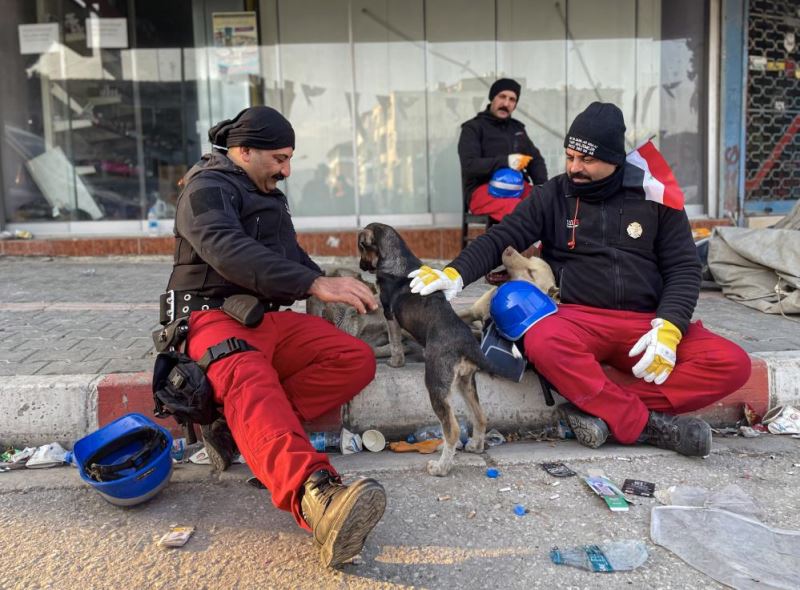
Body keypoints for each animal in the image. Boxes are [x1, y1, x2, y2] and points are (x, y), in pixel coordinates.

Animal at [356, 224, 494, 478]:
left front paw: (395, 362)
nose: (361, 266)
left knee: (452, 430)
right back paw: (476, 447)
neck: (399, 259)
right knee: (480, 415)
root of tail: (466, 343)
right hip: (465, 381)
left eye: (361, 247)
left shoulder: (389, 314)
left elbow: (395, 341)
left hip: (437, 384)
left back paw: (441, 468)